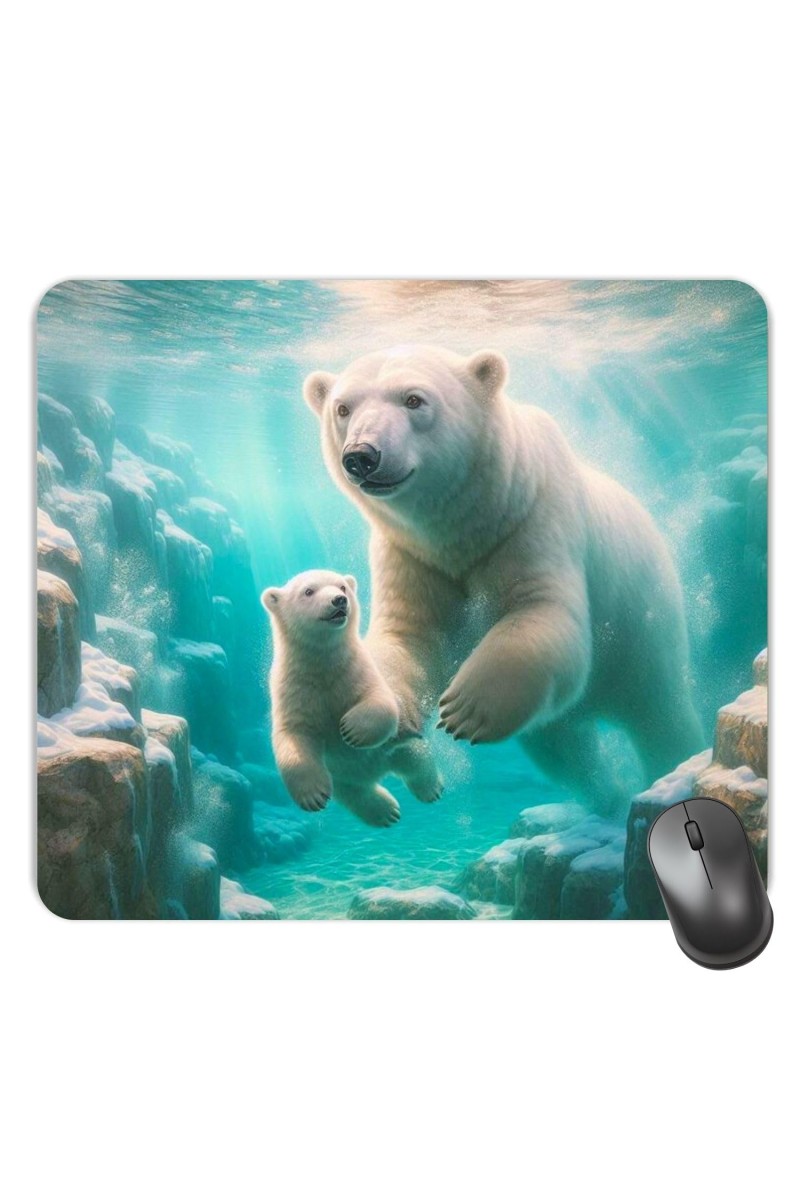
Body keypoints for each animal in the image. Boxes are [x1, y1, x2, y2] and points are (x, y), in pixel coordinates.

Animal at [262, 569, 443, 827]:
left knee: (415, 757)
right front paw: (312, 796)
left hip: (395, 748)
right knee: (354, 793)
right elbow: (293, 734)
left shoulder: (358, 670)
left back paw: (430, 789)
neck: (322, 663)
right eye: (308, 591)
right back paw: (387, 812)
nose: (339, 600)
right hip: (342, 778)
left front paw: (350, 730)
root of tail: (377, 771)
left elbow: (382, 702)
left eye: (342, 586)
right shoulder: (293, 689)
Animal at [302, 345, 704, 815]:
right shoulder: (411, 553)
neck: (467, 522)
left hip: (642, 622)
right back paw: (608, 794)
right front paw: (374, 717)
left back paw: (672, 769)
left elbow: (541, 612)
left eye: (414, 399)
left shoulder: (534, 515)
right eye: (343, 408)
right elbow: (408, 637)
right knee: (563, 746)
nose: (362, 455)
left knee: (660, 714)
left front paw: (464, 710)